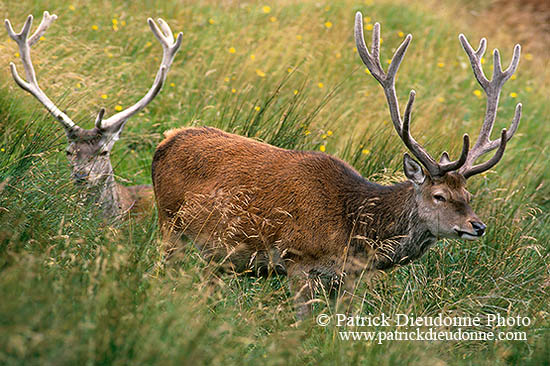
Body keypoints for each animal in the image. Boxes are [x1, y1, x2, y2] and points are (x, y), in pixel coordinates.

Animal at [153, 10, 524, 314]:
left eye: (469, 196)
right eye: (439, 196)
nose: (478, 226)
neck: (351, 228)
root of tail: (165, 141)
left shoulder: (351, 279)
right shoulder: (297, 260)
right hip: (170, 226)